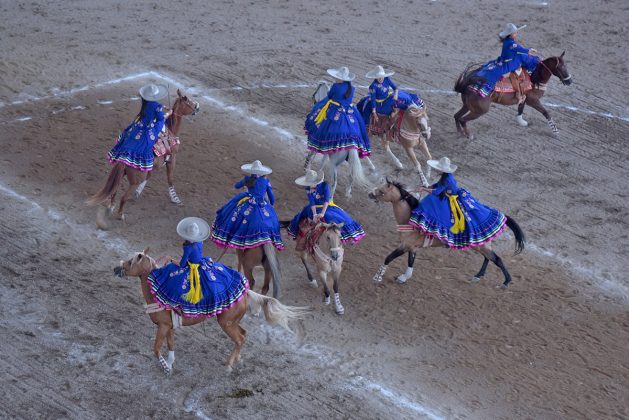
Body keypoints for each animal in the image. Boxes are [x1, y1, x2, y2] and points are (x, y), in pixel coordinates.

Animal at [87, 90, 197, 225]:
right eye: (188, 101)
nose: (197, 107)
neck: (170, 130)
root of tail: (123, 160)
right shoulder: (172, 158)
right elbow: (170, 178)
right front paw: (175, 199)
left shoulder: (151, 166)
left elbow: (149, 176)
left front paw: (138, 192)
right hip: (133, 181)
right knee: (123, 197)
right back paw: (121, 215)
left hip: (121, 176)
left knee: (114, 192)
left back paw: (111, 208)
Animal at [113, 248, 310, 372]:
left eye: (130, 262)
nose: (116, 268)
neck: (156, 289)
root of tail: (246, 291)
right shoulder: (168, 326)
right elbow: (170, 345)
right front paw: (170, 363)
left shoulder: (162, 326)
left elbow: (155, 349)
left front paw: (165, 367)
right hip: (232, 322)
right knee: (243, 335)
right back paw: (237, 359)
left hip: (226, 323)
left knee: (239, 339)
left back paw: (229, 365)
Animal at [368, 179, 524, 288]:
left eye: (381, 191)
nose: (370, 194)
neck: (409, 219)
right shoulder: (412, 247)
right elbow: (410, 262)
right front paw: (403, 278)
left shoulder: (405, 246)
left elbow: (388, 258)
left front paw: (377, 277)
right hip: (480, 245)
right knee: (488, 258)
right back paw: (478, 276)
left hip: (482, 246)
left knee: (497, 259)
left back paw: (506, 282)